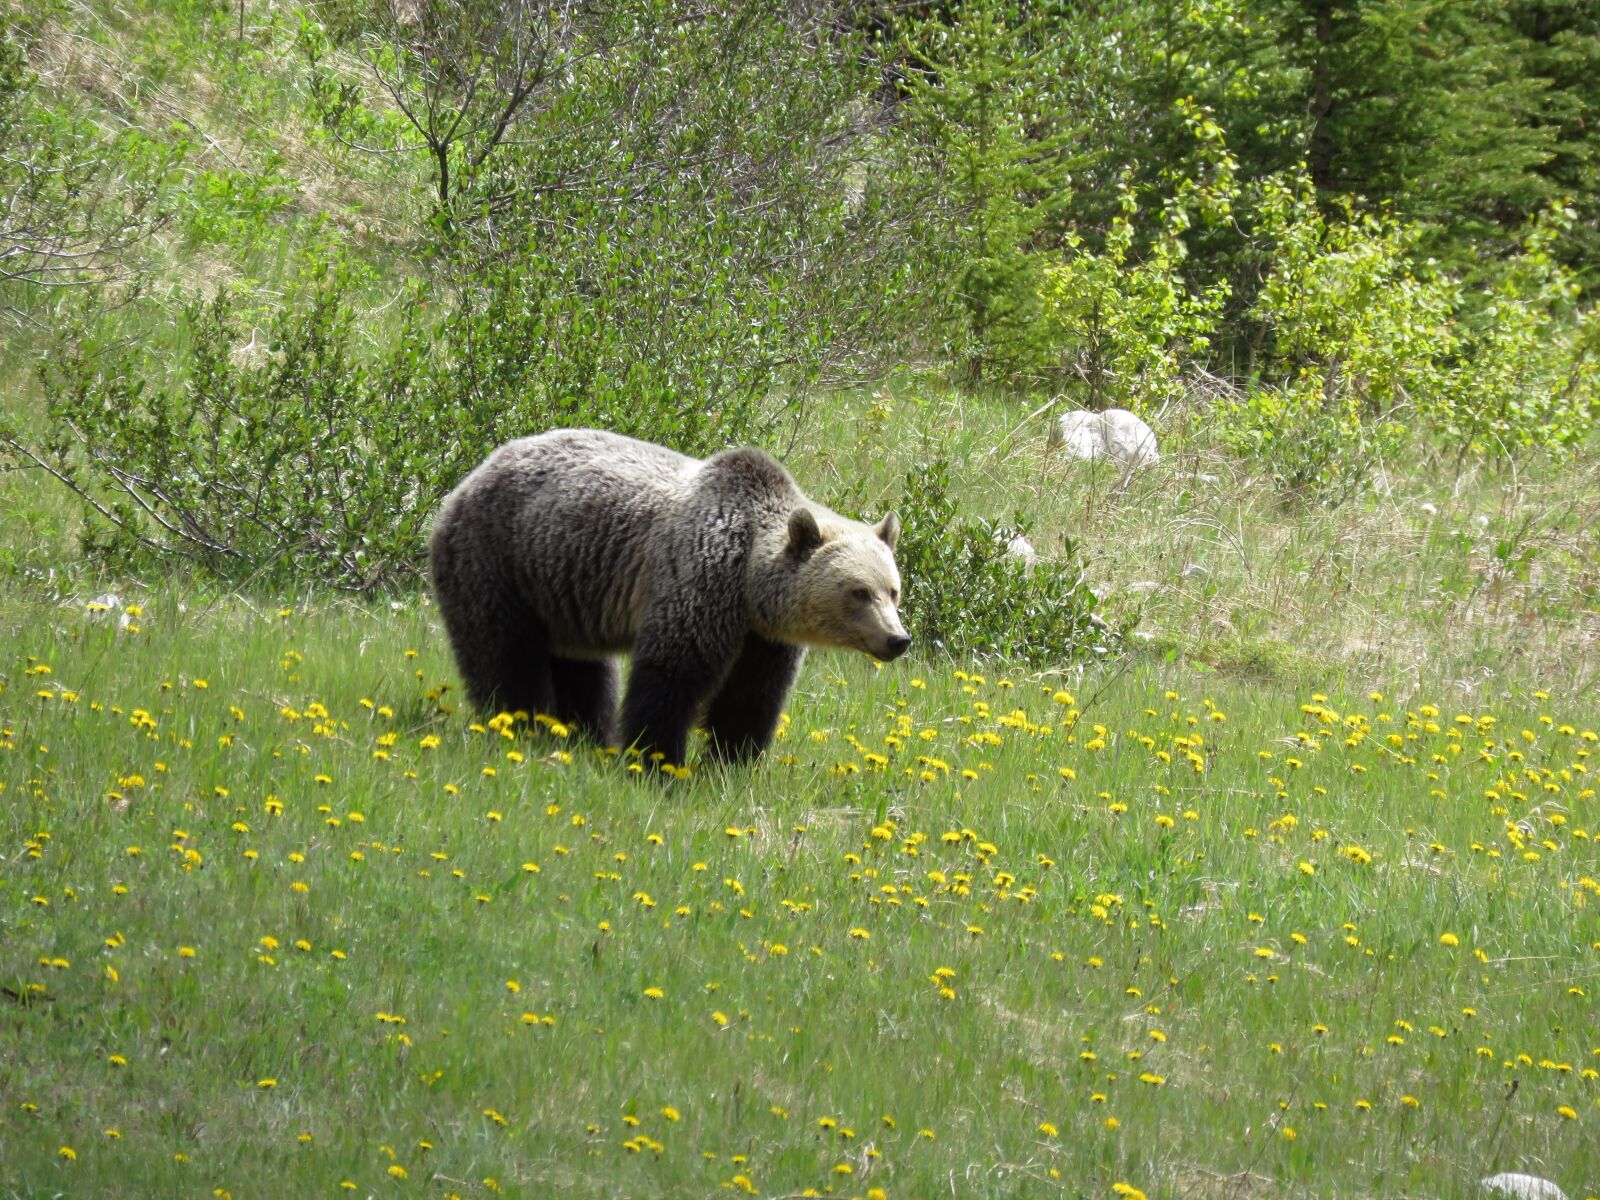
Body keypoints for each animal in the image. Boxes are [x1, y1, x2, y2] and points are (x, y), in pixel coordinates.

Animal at [428, 428, 910, 768]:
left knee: (584, 671)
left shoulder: (764, 638)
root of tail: (467, 479)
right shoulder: (699, 579)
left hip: (566, 594)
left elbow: (750, 697)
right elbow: (672, 676)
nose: (897, 639)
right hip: (497, 562)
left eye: (893, 590)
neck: (749, 587)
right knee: (505, 656)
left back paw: (586, 735)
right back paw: (520, 726)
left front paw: (732, 763)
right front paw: (656, 760)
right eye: (859, 591)